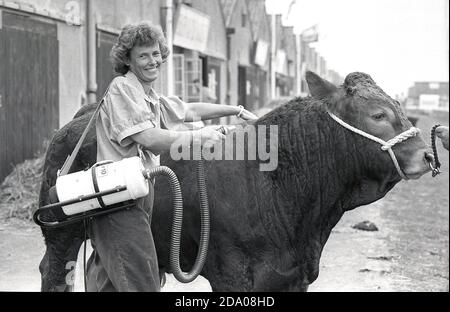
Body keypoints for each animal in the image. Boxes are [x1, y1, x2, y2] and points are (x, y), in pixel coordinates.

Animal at [37, 72, 432, 292]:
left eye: (400, 108)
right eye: (378, 115)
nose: (427, 155)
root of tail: (84, 116)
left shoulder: (295, 277)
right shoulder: (232, 273)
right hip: (61, 230)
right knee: (55, 272)